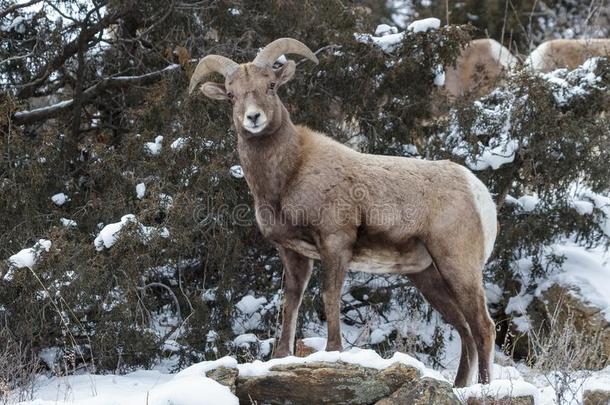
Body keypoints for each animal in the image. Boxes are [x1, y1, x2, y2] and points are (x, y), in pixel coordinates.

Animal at [188, 37, 496, 386]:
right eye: (231, 95)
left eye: (270, 86)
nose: (253, 118)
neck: (288, 174)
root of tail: (478, 193)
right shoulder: (294, 253)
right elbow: (291, 301)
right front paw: (279, 357)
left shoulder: (335, 243)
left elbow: (329, 296)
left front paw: (333, 351)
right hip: (428, 276)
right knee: (465, 330)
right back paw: (458, 387)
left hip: (458, 266)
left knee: (483, 327)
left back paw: (485, 388)